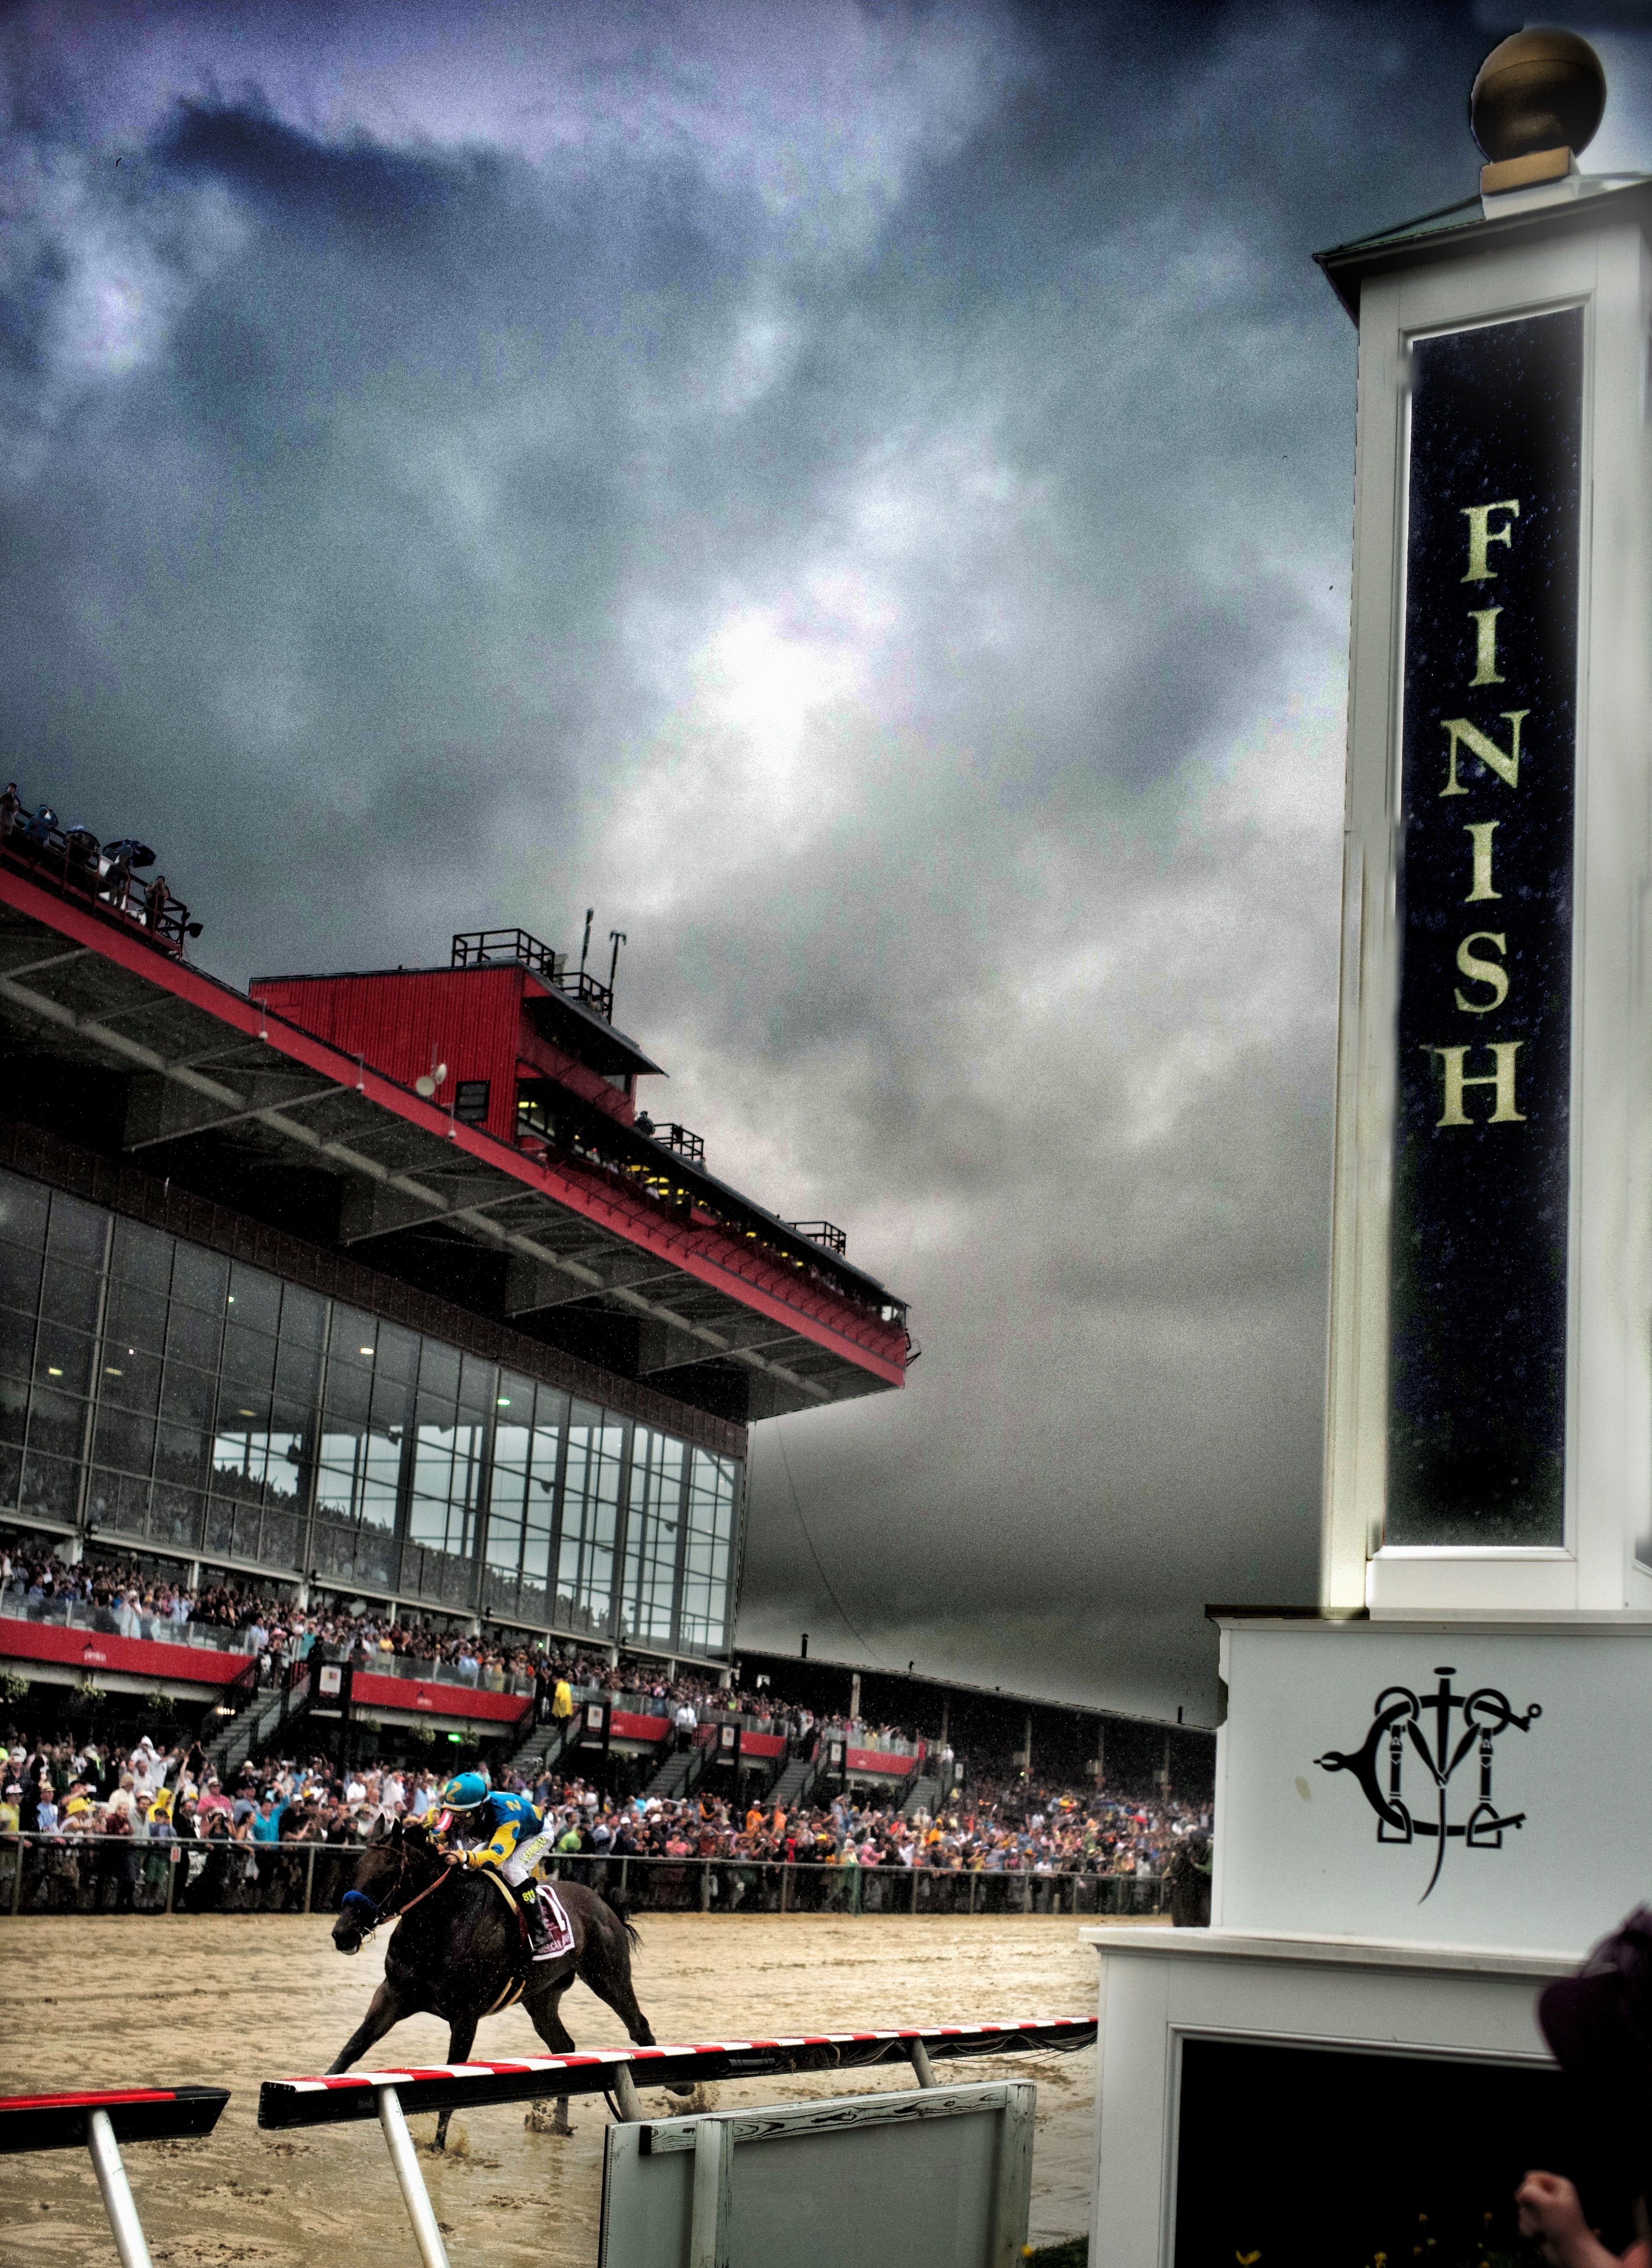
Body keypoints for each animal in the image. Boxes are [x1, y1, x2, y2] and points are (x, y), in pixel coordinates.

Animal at [322, 1805, 658, 2141]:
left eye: (387, 1875)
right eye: (356, 1869)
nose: (343, 1934)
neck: (441, 1922)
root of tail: (602, 1903)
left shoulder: (465, 2017)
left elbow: (451, 2086)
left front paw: (438, 2146)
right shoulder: (394, 1994)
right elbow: (351, 2050)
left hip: (608, 1977)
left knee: (639, 2028)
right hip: (541, 1998)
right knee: (564, 2047)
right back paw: (558, 2125)